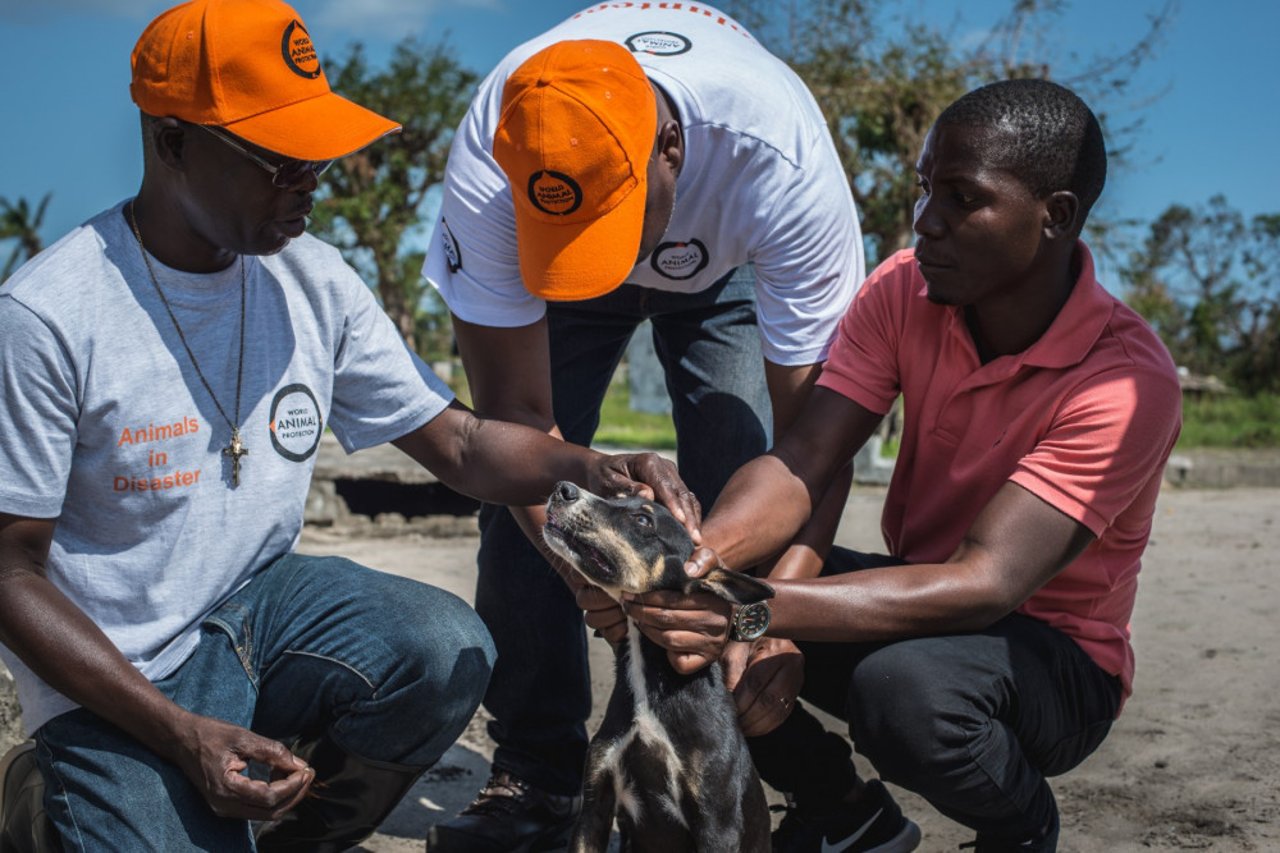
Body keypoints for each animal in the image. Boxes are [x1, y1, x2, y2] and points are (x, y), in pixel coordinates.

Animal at [540, 479, 768, 850]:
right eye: (618, 497)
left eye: (643, 521)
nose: (563, 488)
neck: (650, 688)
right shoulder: (594, 808)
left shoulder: (718, 826)